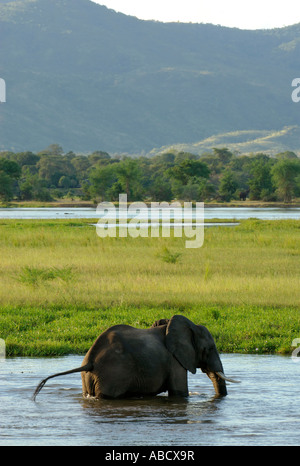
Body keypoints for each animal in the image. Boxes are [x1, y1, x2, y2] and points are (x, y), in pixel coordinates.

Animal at [33, 314, 239, 398]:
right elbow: (179, 392)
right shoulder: (175, 361)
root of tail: (89, 361)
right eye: (210, 348)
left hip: (88, 378)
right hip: (113, 374)